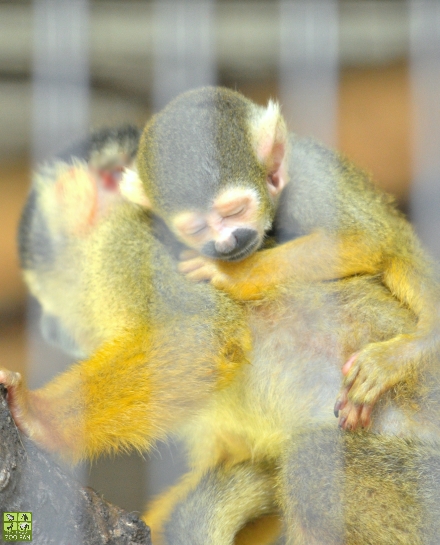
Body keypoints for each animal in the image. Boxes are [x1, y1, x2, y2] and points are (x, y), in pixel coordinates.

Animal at [2, 124, 440, 544]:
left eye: (47, 296)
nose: (50, 327)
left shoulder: (122, 247)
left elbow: (203, 334)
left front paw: (39, 418)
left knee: (314, 465)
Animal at [118, 87, 438, 432]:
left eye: (235, 211)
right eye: (198, 228)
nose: (226, 243)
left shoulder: (310, 177)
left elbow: (363, 238)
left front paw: (236, 275)